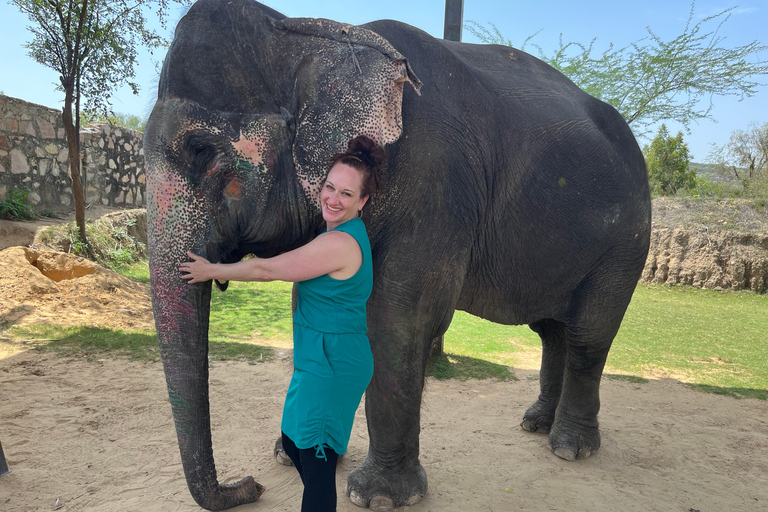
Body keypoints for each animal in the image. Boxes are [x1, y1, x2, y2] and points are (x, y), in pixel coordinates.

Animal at [142, 1, 648, 508]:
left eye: (201, 151)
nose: (248, 484)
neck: (306, 36)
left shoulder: (436, 184)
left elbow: (399, 317)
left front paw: (378, 497)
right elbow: (309, 307)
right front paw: (293, 456)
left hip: (627, 242)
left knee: (587, 334)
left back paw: (570, 448)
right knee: (552, 331)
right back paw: (535, 424)